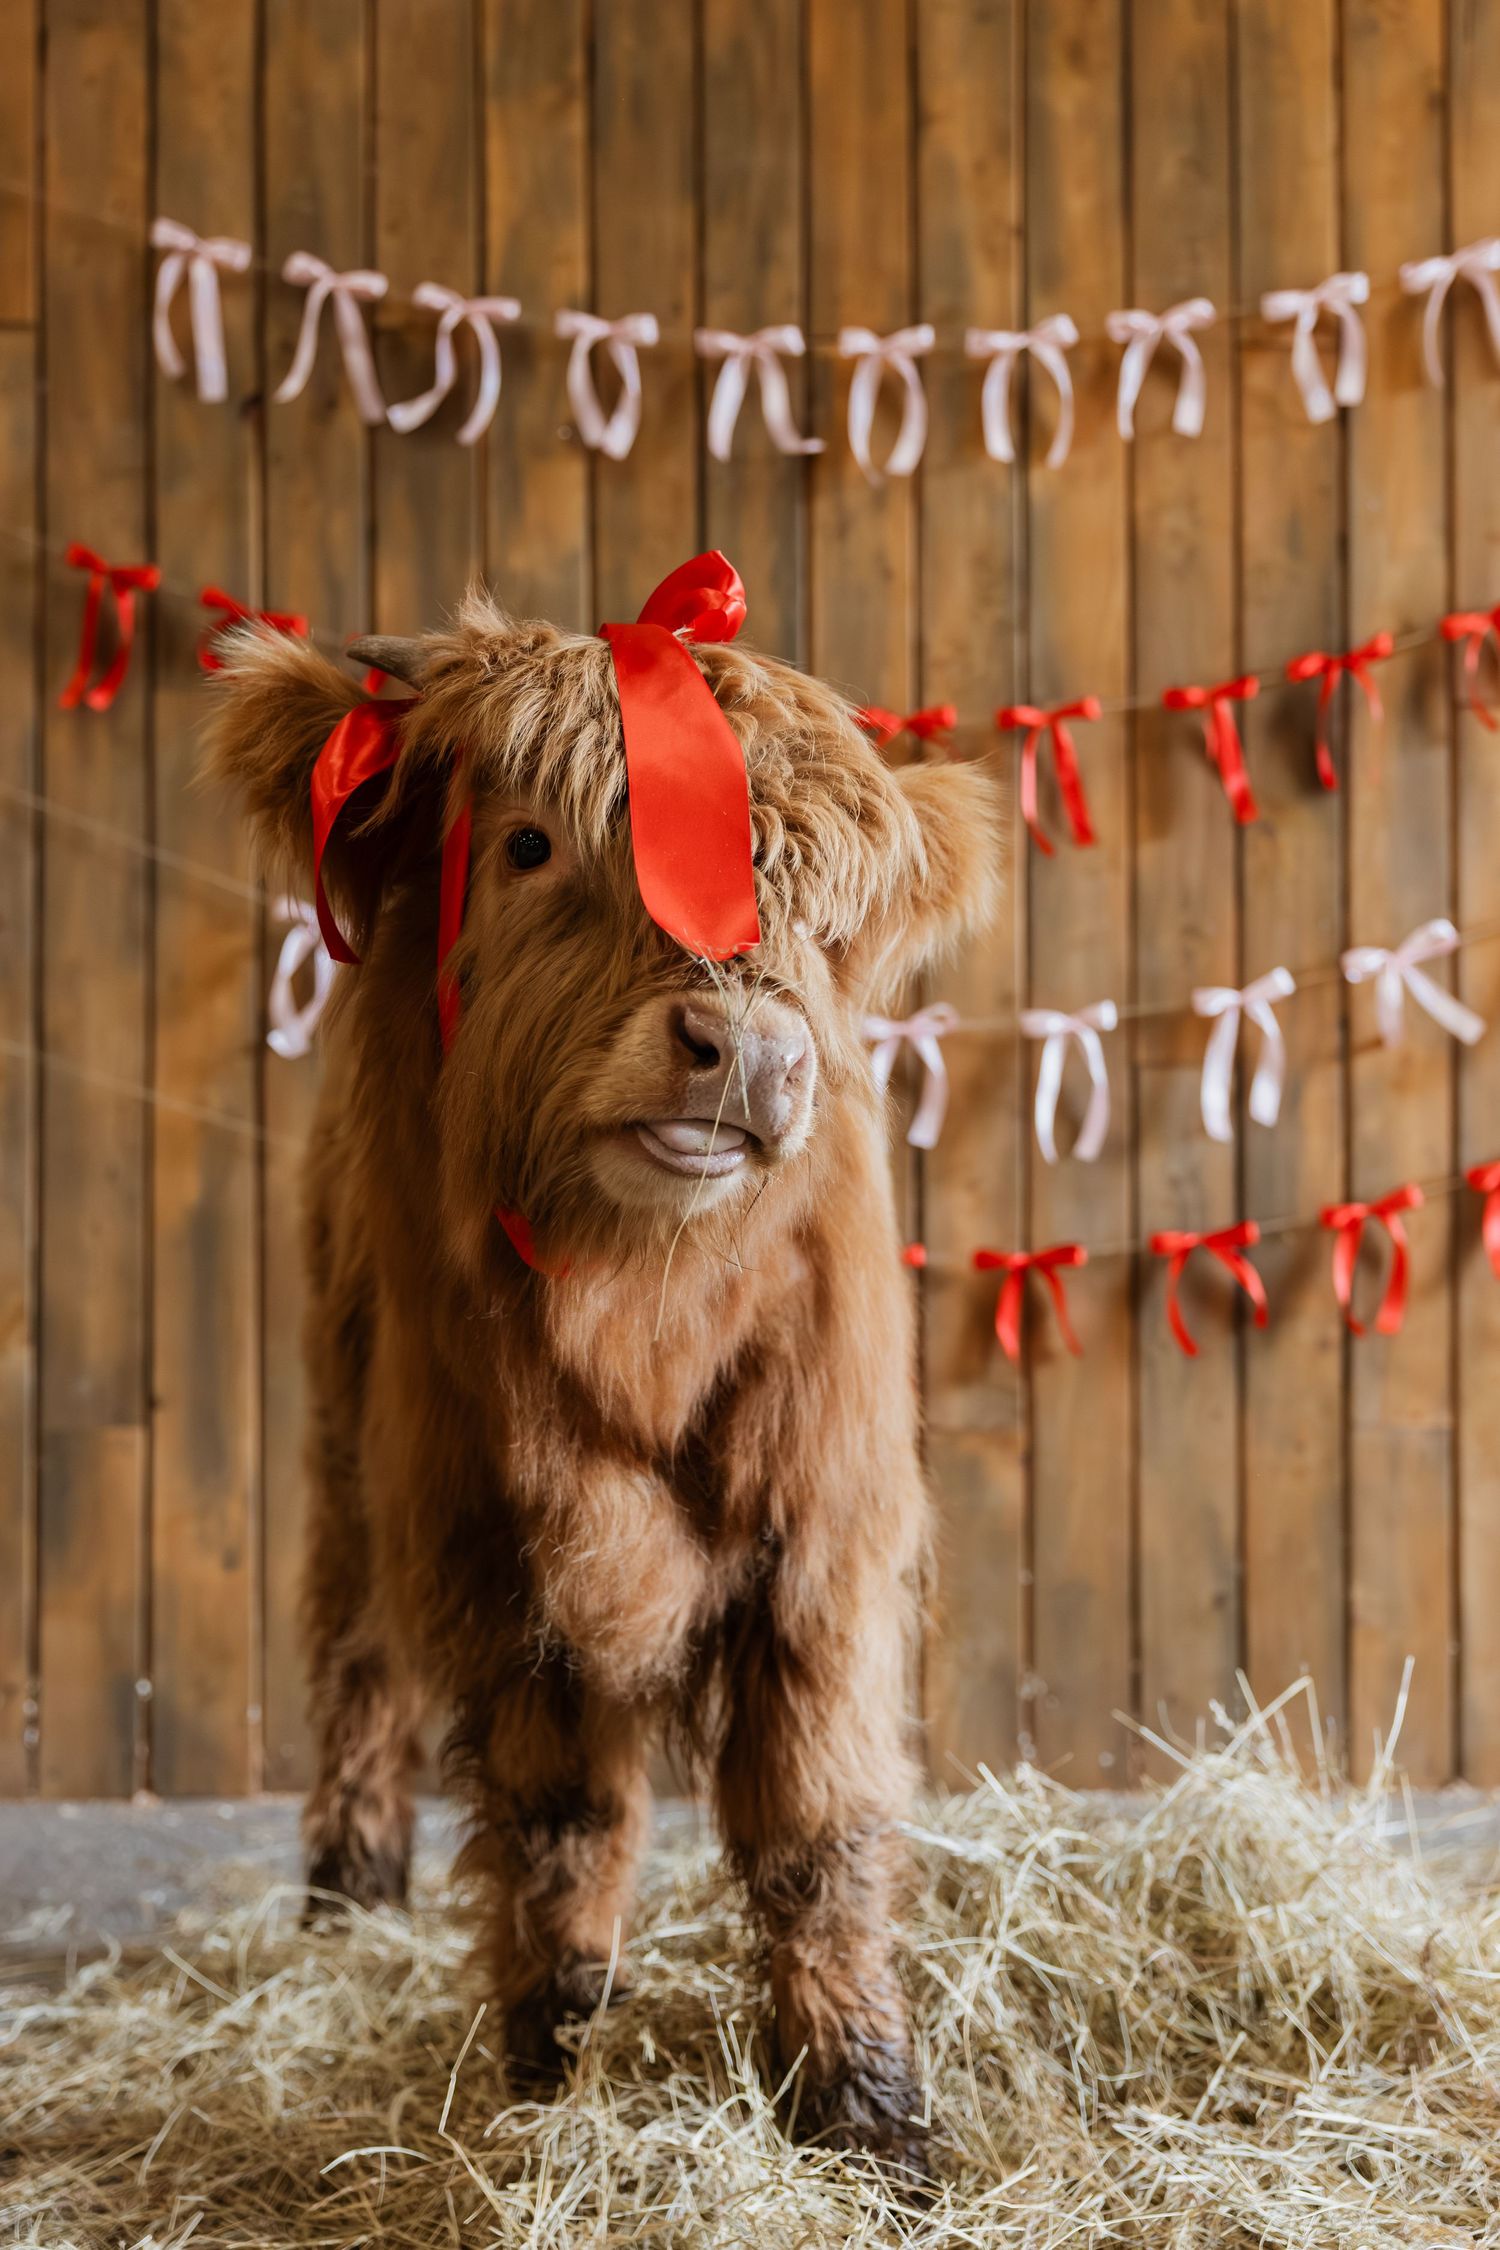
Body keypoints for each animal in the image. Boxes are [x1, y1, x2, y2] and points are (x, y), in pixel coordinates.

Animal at [207, 562, 1001, 2174]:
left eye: (824, 918)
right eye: (529, 845)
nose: (747, 1051)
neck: (646, 1296)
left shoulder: (822, 1538)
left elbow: (818, 1828)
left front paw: (866, 2106)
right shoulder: (496, 1548)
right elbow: (562, 1815)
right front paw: (553, 2048)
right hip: (343, 1436)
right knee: (352, 1655)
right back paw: (345, 1886)